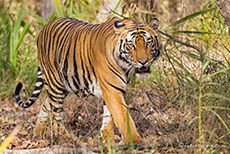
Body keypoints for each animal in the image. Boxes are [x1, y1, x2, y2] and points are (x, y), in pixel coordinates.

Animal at [14, 16, 162, 143]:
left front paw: (107, 138)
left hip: (65, 84)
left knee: (46, 103)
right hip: (55, 82)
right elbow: (122, 116)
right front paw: (135, 141)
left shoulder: (114, 89)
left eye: (148, 43)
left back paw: (38, 133)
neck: (125, 65)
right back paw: (63, 137)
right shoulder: (112, 90)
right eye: (131, 45)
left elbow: (109, 116)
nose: (143, 62)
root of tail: (43, 28)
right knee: (56, 113)